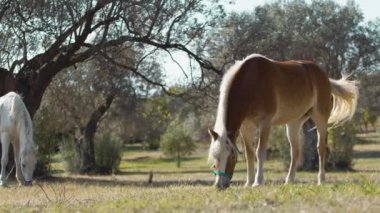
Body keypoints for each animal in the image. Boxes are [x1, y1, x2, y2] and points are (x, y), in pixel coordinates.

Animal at [209, 54, 358, 189]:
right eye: (215, 157)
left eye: (231, 157)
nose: (220, 185)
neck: (252, 82)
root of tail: (324, 77)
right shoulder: (246, 127)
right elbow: (249, 154)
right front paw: (249, 182)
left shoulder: (265, 123)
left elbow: (260, 152)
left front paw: (258, 181)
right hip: (293, 123)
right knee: (295, 151)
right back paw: (289, 180)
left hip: (320, 118)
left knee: (321, 148)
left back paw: (321, 180)